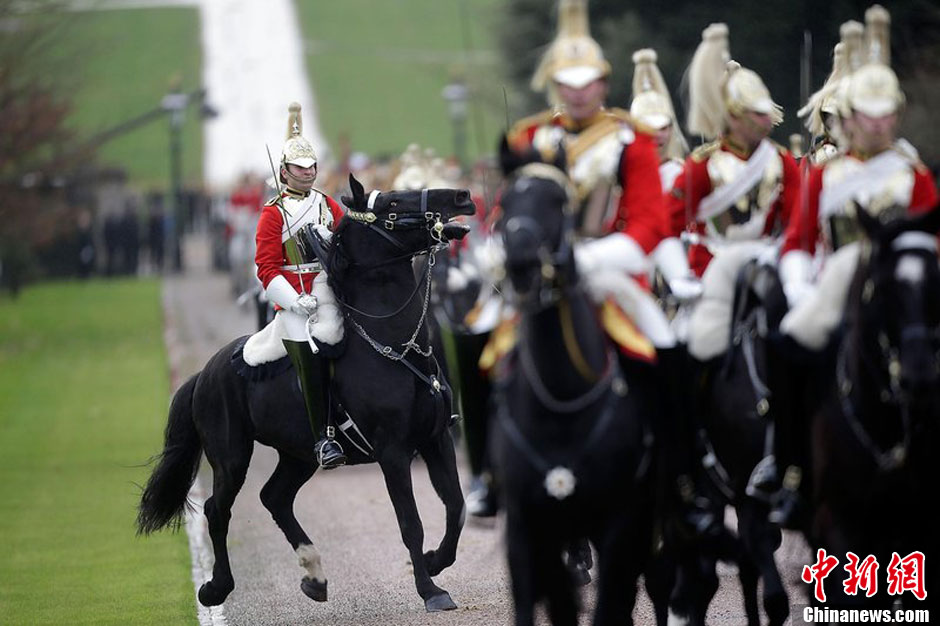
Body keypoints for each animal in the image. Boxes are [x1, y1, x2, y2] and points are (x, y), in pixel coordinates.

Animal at [138, 174, 478, 608]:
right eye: (391, 203)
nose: (462, 197)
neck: (396, 348)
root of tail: (205, 373)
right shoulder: (394, 452)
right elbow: (410, 523)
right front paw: (430, 589)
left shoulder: (435, 438)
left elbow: (456, 506)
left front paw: (436, 562)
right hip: (231, 457)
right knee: (217, 509)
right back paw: (217, 587)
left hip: (298, 455)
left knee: (275, 498)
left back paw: (314, 575)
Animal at [488, 143, 656, 624]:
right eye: (504, 204)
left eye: (558, 202)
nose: (522, 264)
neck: (561, 405)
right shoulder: (526, 529)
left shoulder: (619, 522)